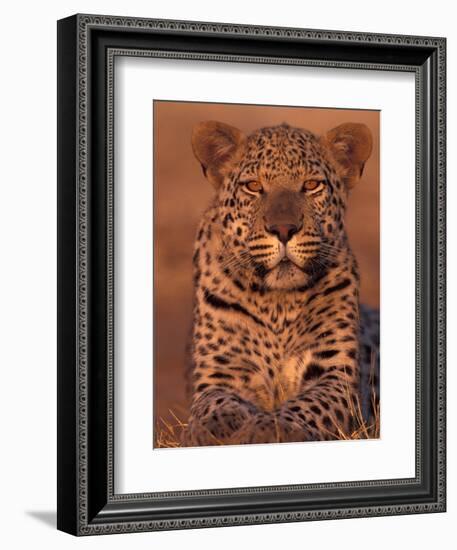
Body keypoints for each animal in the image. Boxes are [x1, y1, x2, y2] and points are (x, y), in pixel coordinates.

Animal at [181, 121, 378, 448]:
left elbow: (309, 404)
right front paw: (212, 427)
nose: (284, 229)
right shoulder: (220, 373)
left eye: (311, 185)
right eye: (253, 186)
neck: (277, 303)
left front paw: (270, 426)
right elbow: (214, 401)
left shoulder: (335, 375)